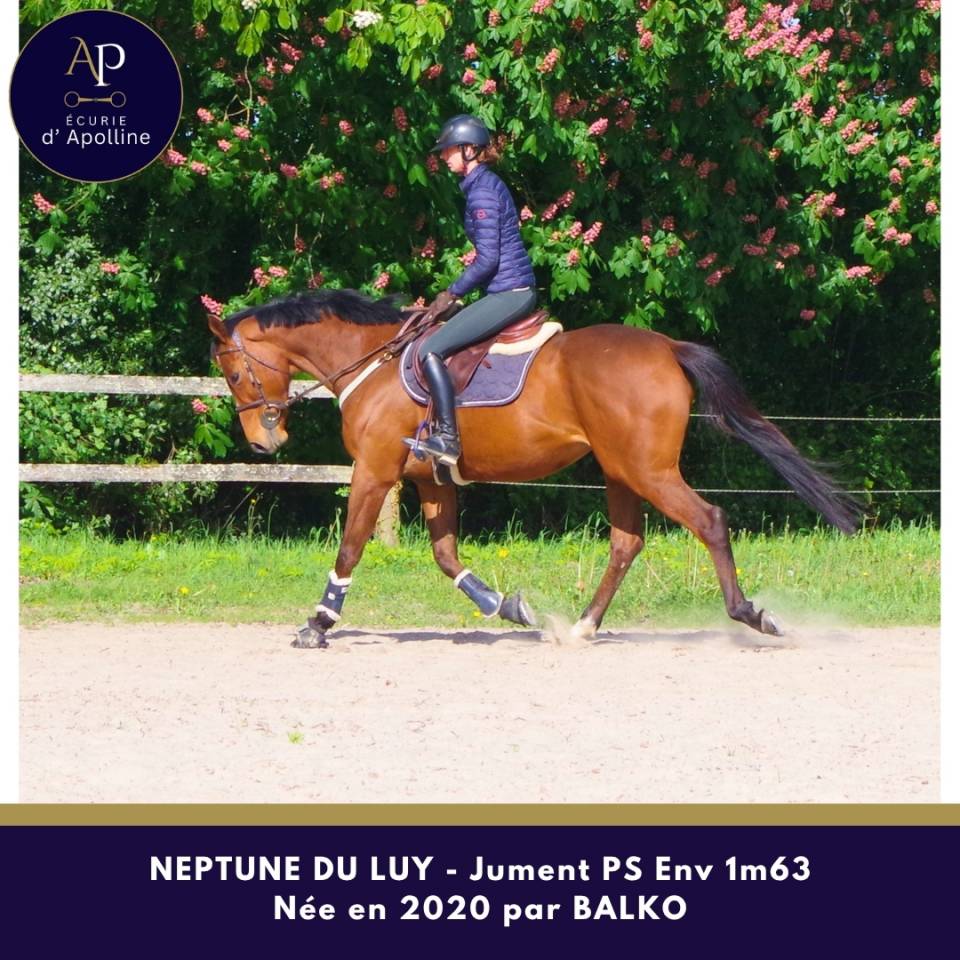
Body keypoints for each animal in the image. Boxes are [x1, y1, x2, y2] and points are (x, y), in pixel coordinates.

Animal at [208, 289, 860, 648]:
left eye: (236, 373)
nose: (265, 442)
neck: (371, 362)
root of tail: (666, 346)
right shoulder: (431, 481)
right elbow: (447, 557)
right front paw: (510, 608)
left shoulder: (375, 471)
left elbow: (350, 549)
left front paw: (317, 624)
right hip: (620, 469)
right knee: (627, 543)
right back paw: (581, 628)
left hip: (647, 469)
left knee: (709, 521)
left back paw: (751, 615)